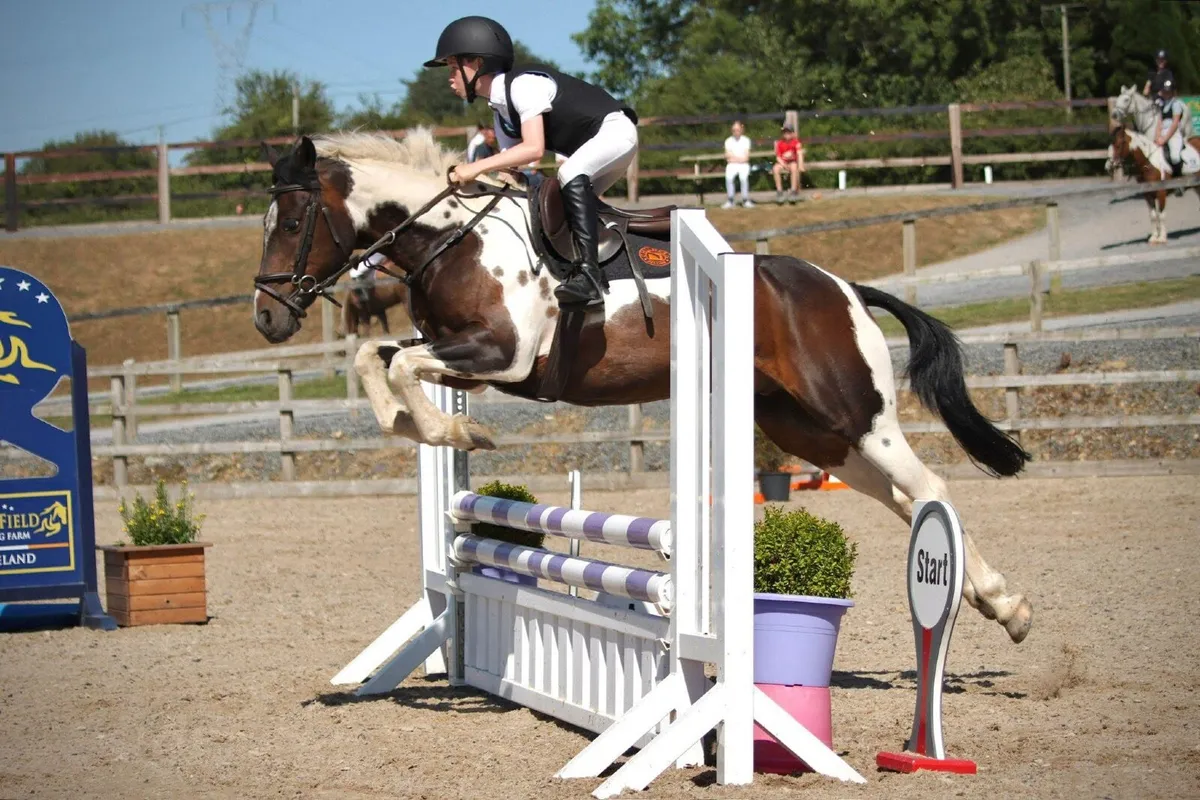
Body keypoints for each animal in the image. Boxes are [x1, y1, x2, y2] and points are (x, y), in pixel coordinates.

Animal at [251, 128, 1034, 644]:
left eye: (290, 220)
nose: (266, 315)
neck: (454, 240)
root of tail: (841, 286)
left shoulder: (504, 355)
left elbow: (398, 364)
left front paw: (453, 429)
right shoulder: (458, 352)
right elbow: (374, 356)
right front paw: (419, 425)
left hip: (856, 413)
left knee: (929, 485)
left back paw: (999, 603)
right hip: (809, 429)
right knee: (900, 498)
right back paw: (997, 603)